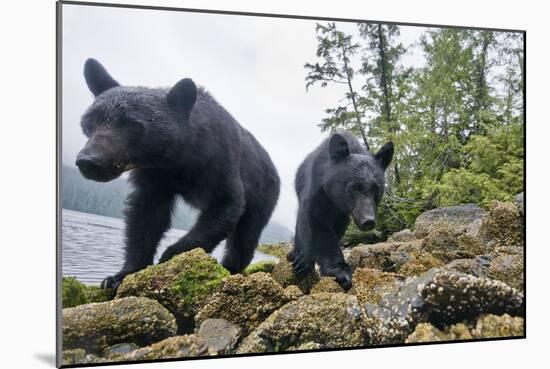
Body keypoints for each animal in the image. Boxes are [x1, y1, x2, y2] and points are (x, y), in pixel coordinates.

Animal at [292, 131, 394, 288]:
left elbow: (336, 229)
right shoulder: (316, 188)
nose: (368, 220)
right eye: (353, 187)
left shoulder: (343, 214)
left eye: (376, 189)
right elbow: (314, 222)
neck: (335, 199)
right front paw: (339, 271)